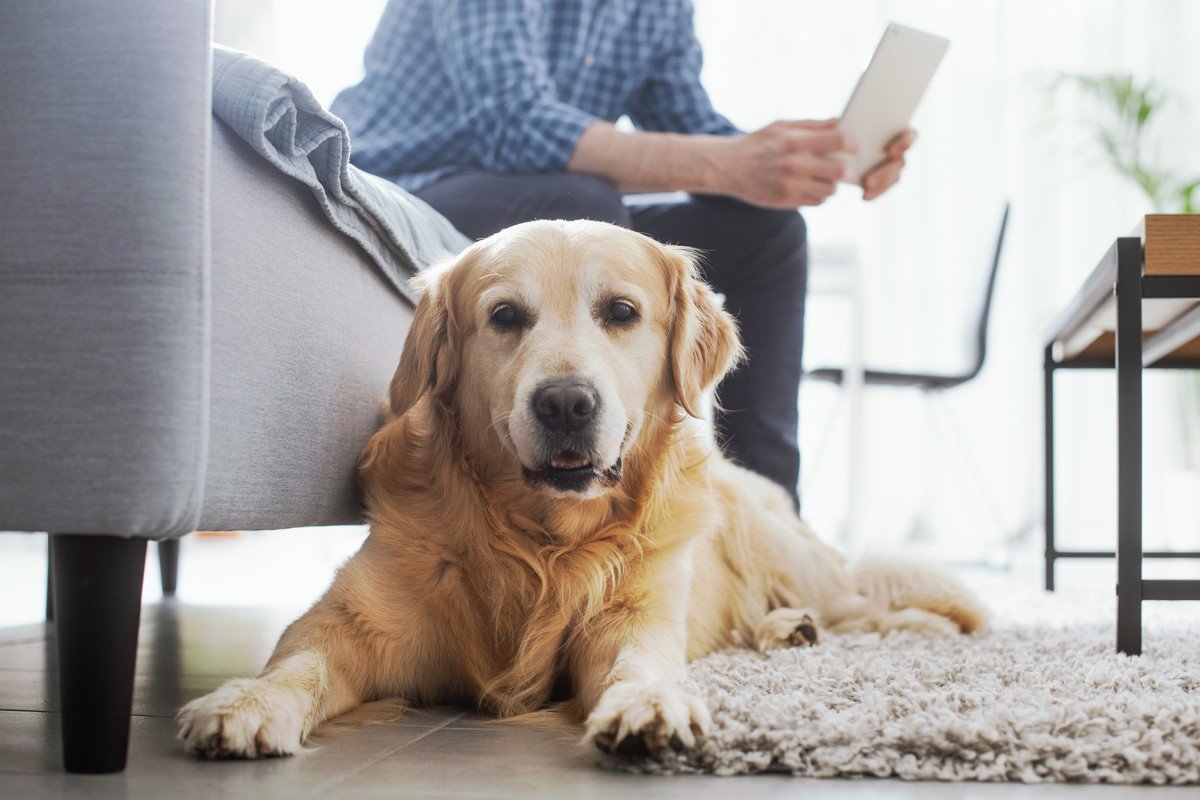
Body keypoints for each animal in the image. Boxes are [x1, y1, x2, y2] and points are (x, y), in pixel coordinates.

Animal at [177, 221, 984, 762]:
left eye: (620, 312)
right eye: (505, 316)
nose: (566, 403)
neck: (540, 541)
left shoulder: (632, 616)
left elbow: (638, 664)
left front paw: (653, 706)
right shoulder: (350, 622)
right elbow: (298, 664)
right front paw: (245, 703)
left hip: (785, 552)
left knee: (867, 605)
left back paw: (895, 629)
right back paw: (785, 631)